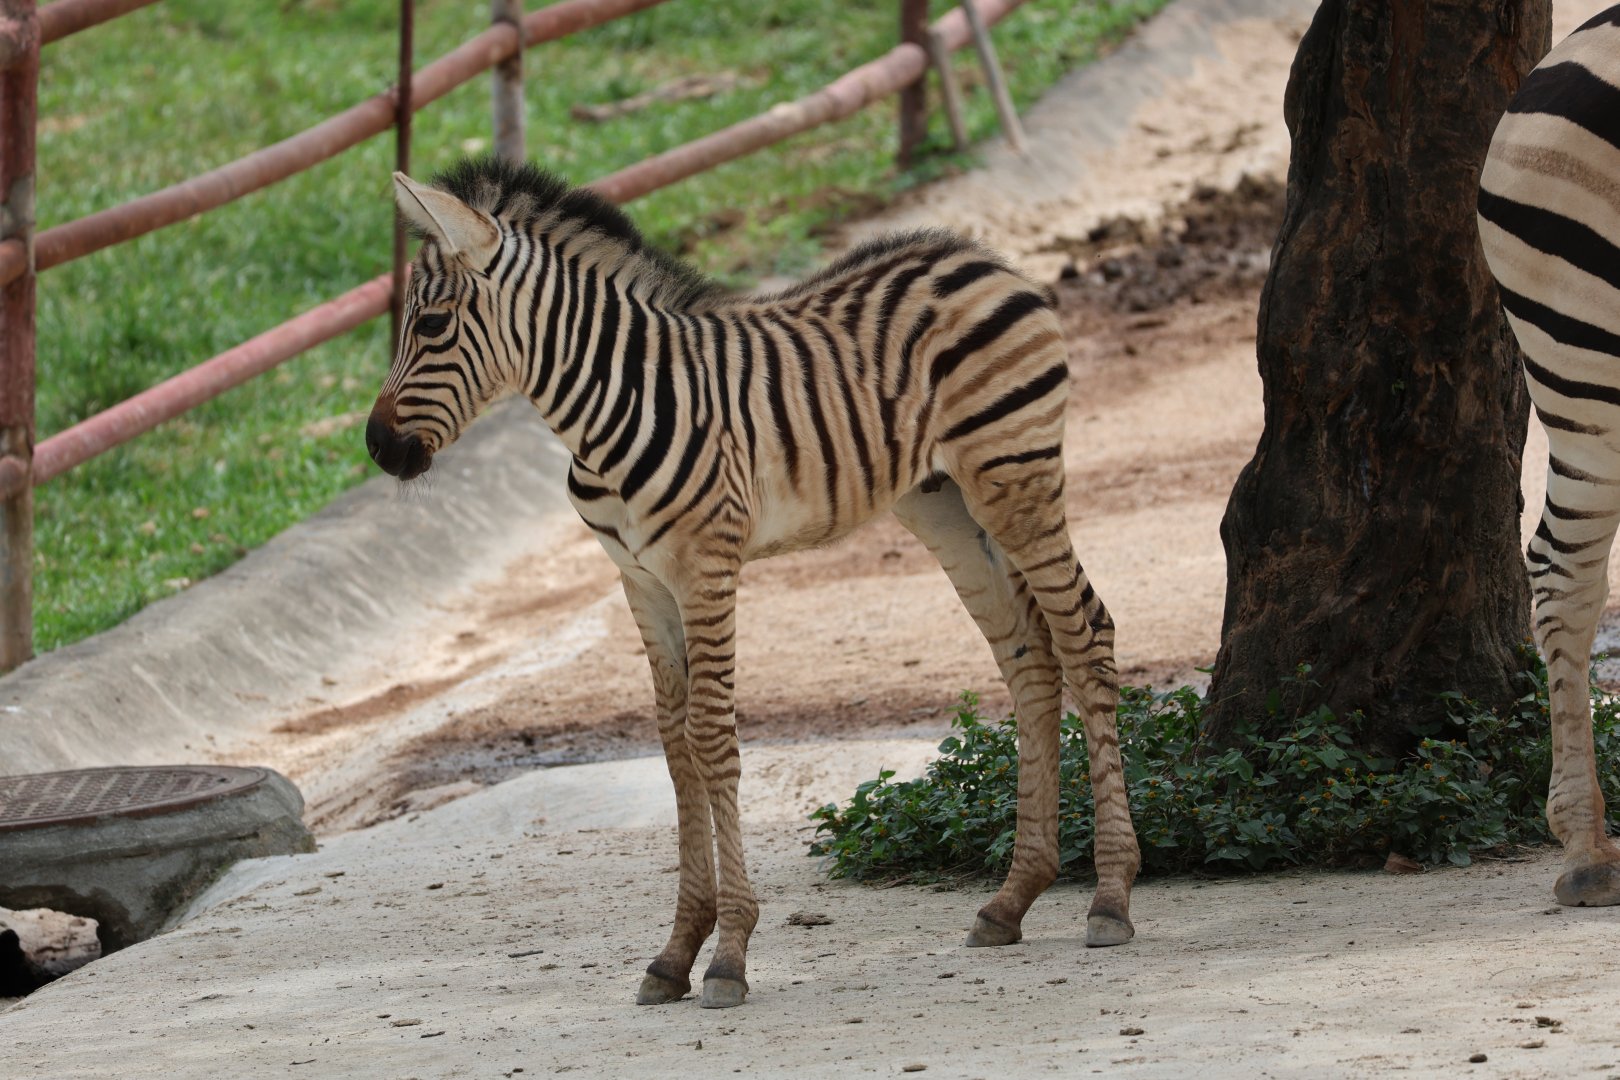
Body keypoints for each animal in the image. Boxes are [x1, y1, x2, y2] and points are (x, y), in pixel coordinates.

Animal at [368, 157, 1141, 1008]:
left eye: (432, 326)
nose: (376, 449)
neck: (604, 412)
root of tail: (978, 253)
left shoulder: (706, 566)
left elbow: (712, 737)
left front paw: (729, 952)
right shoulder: (640, 582)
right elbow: (674, 744)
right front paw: (676, 951)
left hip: (1015, 475)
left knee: (1085, 634)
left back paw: (1110, 897)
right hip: (944, 502)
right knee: (1028, 655)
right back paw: (1013, 899)